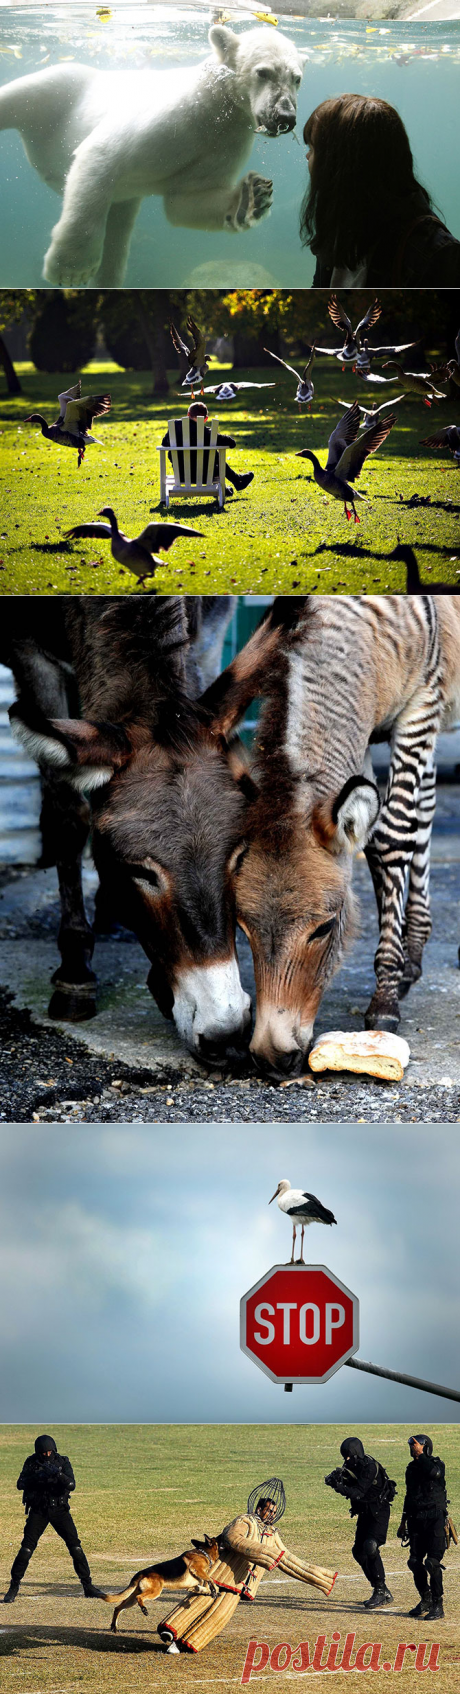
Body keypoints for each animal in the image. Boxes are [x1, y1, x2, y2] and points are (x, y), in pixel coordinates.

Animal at [0, 25, 307, 284]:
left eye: (297, 79)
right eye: (263, 72)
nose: (285, 117)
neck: (210, 105)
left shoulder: (224, 142)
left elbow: (185, 198)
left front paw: (250, 198)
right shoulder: (171, 117)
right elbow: (104, 153)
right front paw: (71, 269)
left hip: (122, 200)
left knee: (117, 239)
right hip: (62, 87)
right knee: (21, 96)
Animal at [202, 592, 460, 1070]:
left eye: (324, 928)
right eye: (242, 930)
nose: (270, 1057)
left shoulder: (421, 706)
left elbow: (392, 836)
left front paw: (384, 1001)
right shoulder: (361, 734)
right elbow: (379, 840)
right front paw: (396, 970)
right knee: (427, 808)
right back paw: (414, 951)